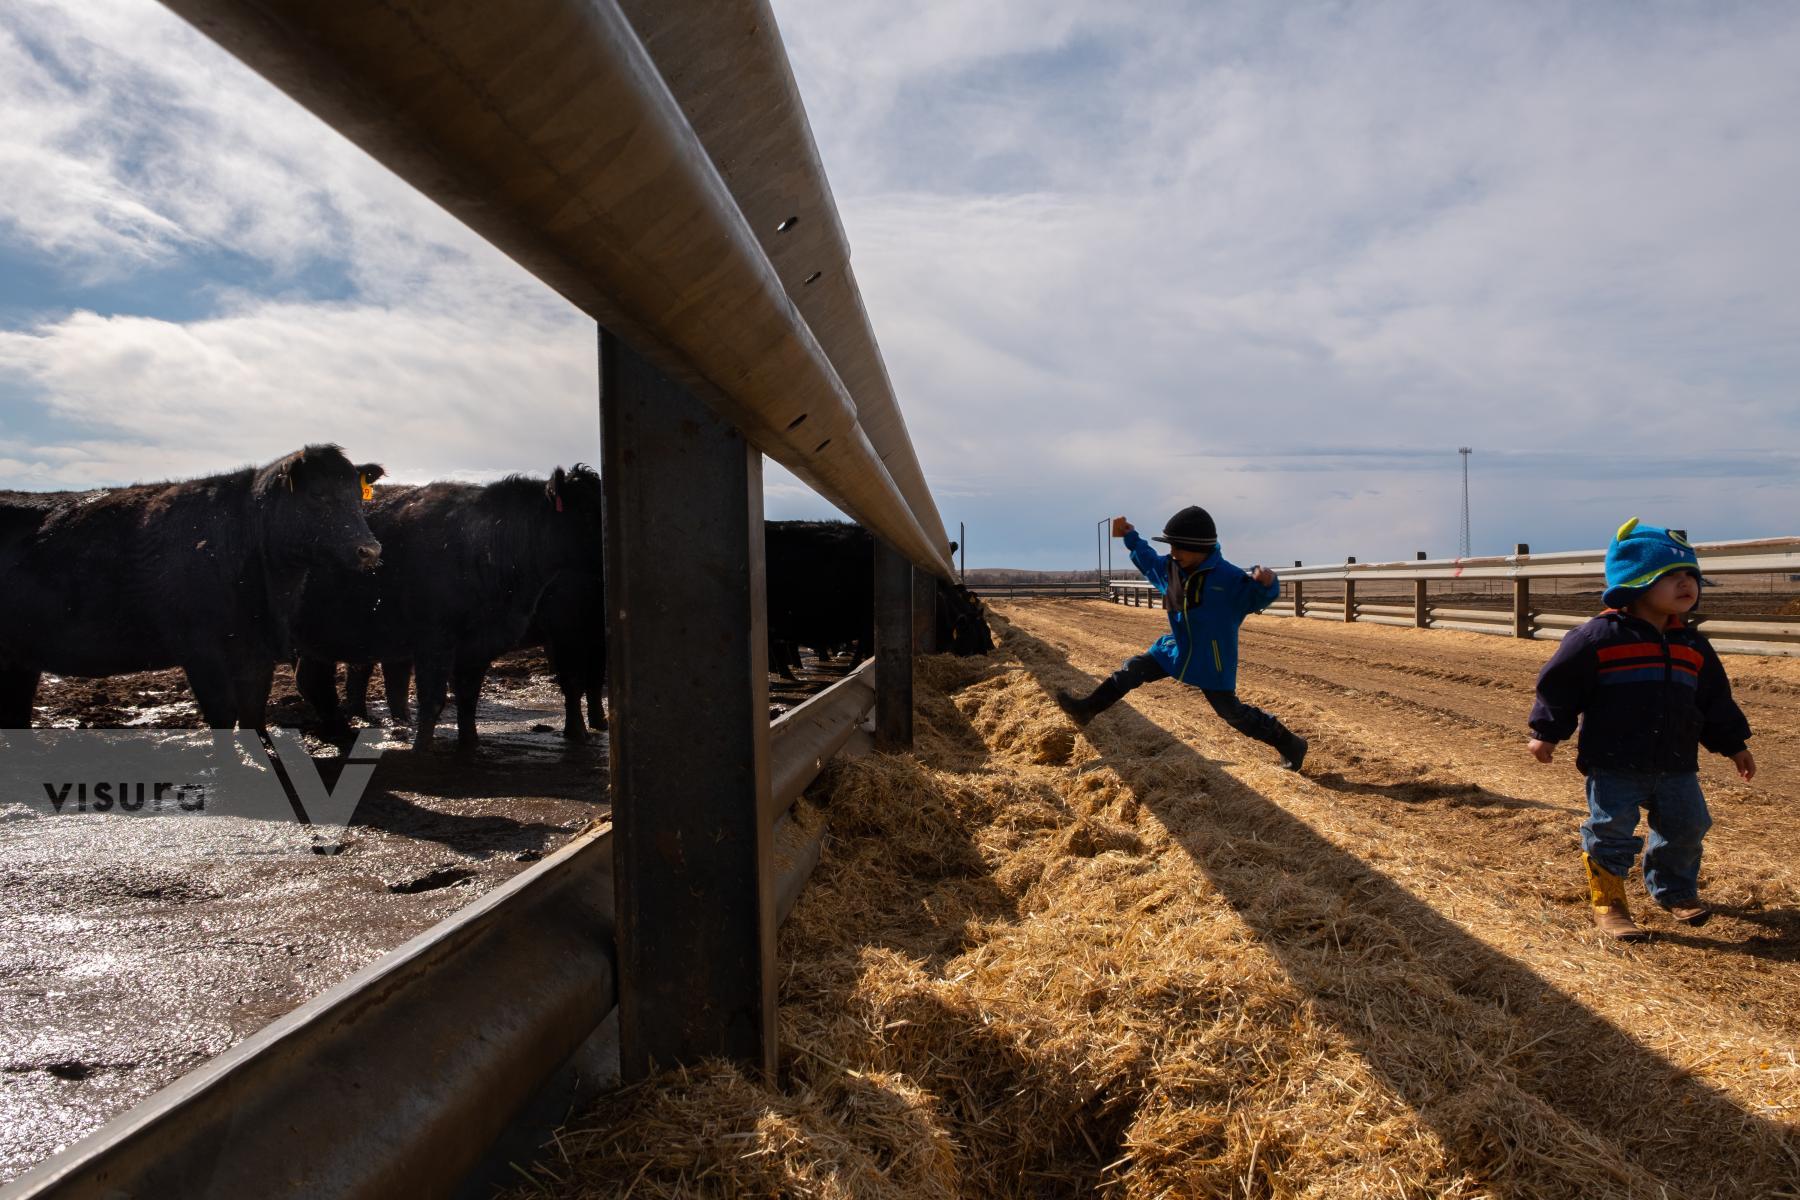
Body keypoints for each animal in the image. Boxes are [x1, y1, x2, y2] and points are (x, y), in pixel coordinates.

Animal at [0, 444, 379, 734]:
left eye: (357, 496)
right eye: (317, 494)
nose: (370, 550)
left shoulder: (256, 651)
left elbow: (253, 713)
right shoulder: (200, 650)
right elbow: (223, 714)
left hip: (20, 657)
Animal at [291, 464, 604, 744]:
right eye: (589, 511)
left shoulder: (481, 644)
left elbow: (468, 697)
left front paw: (470, 744)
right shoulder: (436, 640)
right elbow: (433, 700)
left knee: (322, 677)